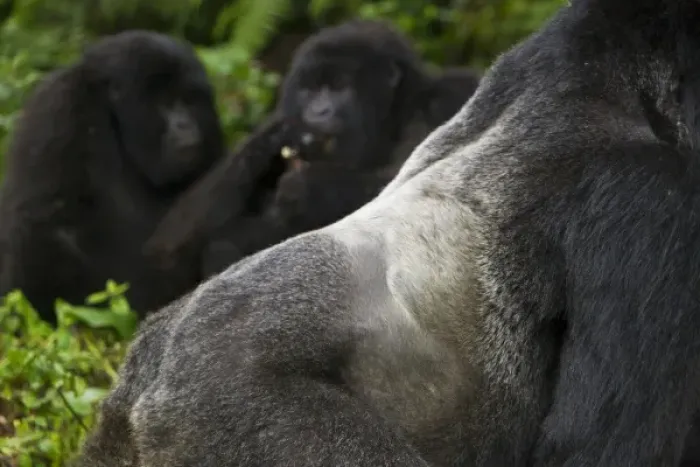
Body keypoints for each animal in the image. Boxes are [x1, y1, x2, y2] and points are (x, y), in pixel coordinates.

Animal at [144, 20, 481, 277]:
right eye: (310, 90)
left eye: (339, 86)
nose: (317, 112)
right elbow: (168, 250)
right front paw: (273, 140)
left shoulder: (449, 96)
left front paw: (308, 187)